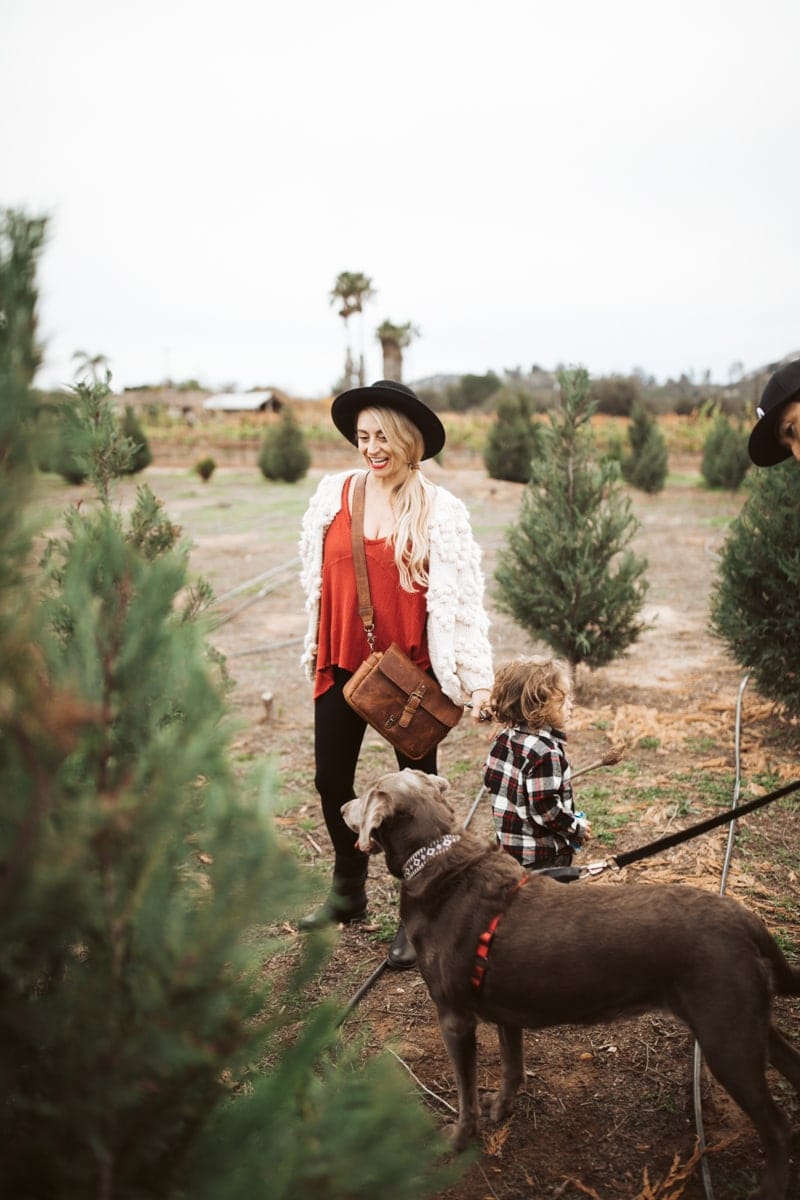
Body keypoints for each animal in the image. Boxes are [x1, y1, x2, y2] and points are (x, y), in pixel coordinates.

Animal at [340, 768, 800, 1200]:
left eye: (367, 792)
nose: (343, 807)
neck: (440, 863)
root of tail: (746, 919)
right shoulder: (507, 1012)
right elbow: (511, 1068)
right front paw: (501, 1109)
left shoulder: (455, 1019)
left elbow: (465, 1093)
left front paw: (455, 1140)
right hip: (748, 1022)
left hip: (727, 1039)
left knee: (778, 1127)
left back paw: (770, 1188)